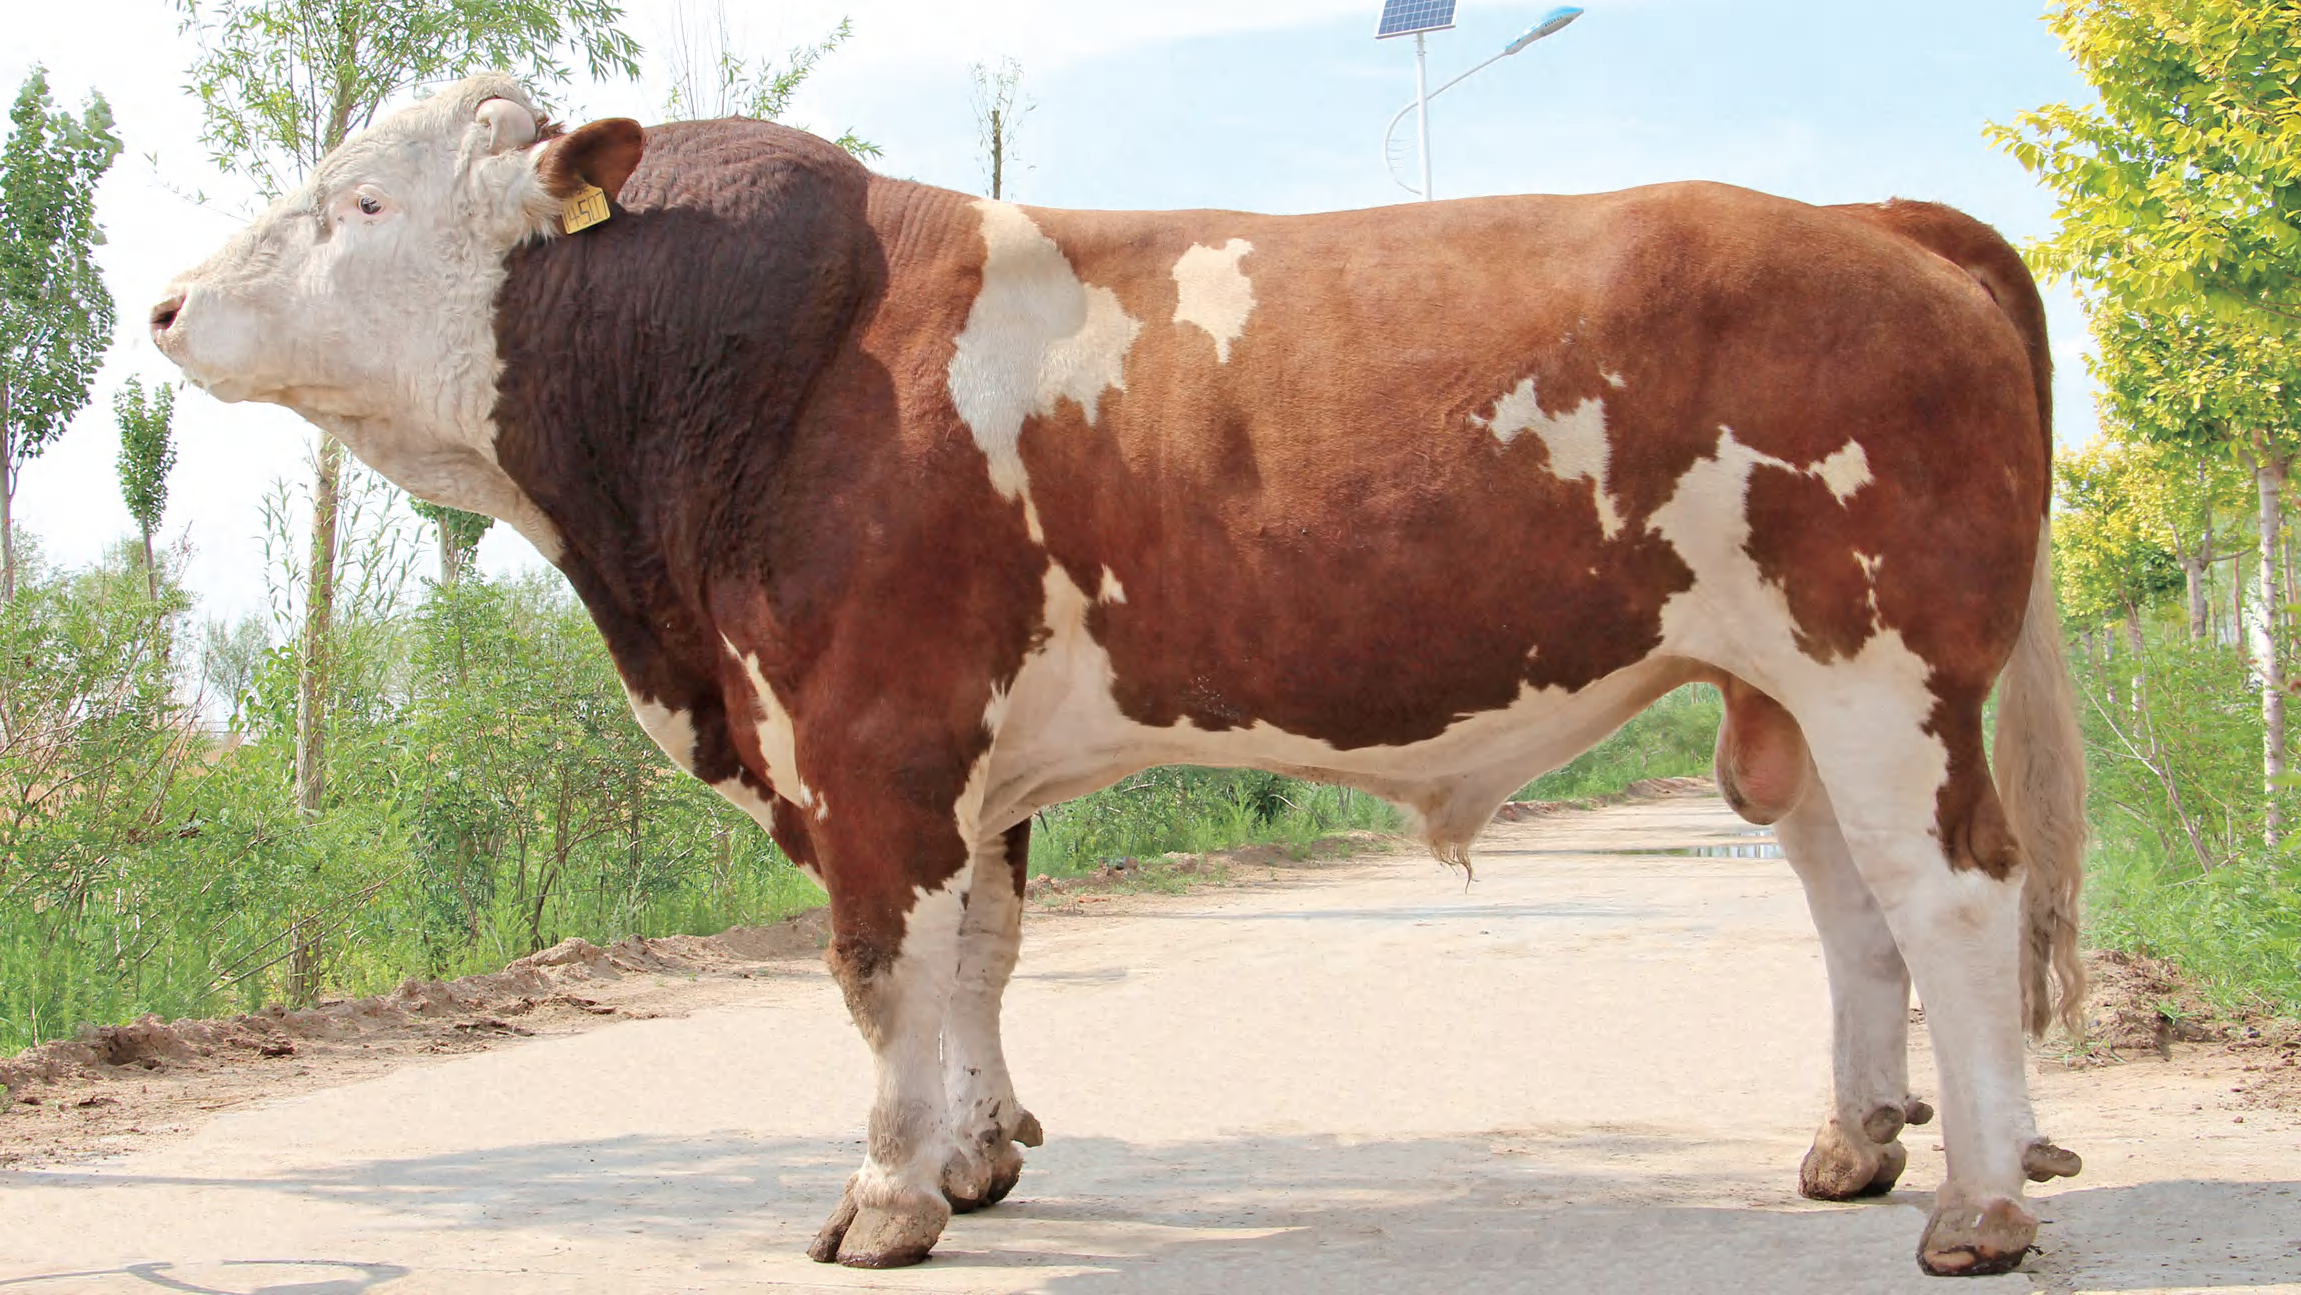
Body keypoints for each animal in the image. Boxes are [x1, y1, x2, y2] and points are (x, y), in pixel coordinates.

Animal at [151, 74, 2089, 1277]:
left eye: (360, 199)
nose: (164, 307)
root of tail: (1877, 216)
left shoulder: (870, 734)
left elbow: (879, 972)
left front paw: (883, 1198)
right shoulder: (966, 761)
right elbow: (981, 958)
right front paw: (976, 1156)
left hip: (1884, 667)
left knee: (1952, 898)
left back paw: (1982, 1206)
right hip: (1788, 701)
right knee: (1853, 908)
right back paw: (1857, 1146)